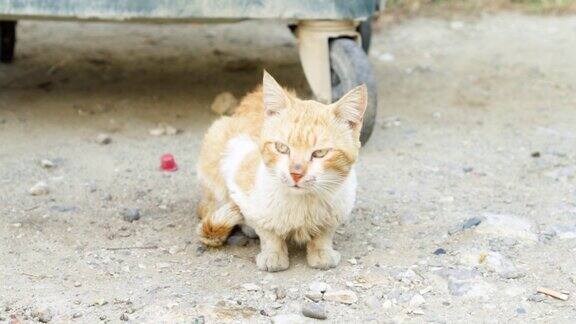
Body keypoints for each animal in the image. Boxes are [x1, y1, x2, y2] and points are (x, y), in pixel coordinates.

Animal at [196, 71, 366, 270]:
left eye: (320, 153)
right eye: (282, 148)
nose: (296, 173)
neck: (303, 204)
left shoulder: (342, 203)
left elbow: (325, 231)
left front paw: (321, 251)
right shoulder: (237, 161)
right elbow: (266, 229)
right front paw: (273, 254)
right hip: (217, 139)